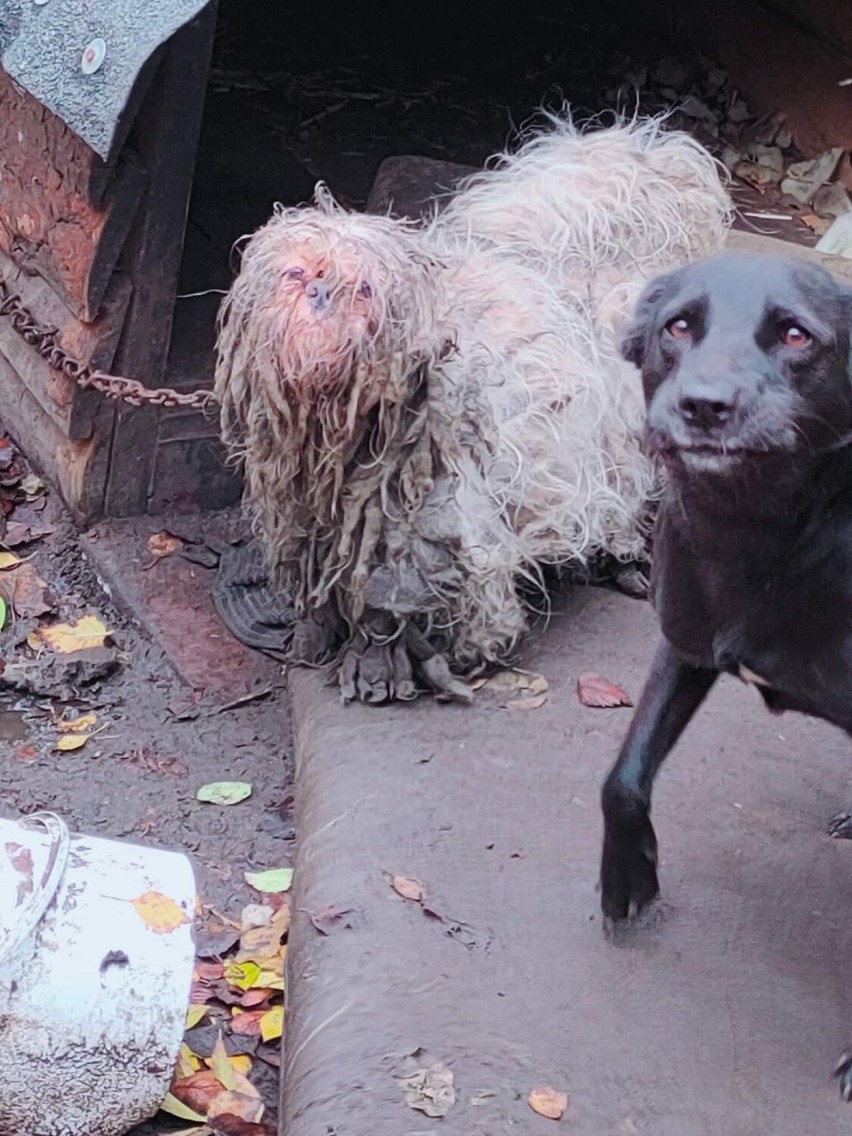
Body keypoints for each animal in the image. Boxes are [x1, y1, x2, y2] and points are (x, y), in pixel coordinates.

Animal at [214, 113, 736, 699]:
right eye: (297, 274)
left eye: (365, 288)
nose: (322, 295)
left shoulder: (430, 519)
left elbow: (400, 591)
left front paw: (393, 660)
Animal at [595, 251, 852, 1090]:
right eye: (678, 326)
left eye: (797, 335)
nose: (705, 406)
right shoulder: (686, 645)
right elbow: (624, 776)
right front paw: (630, 877)